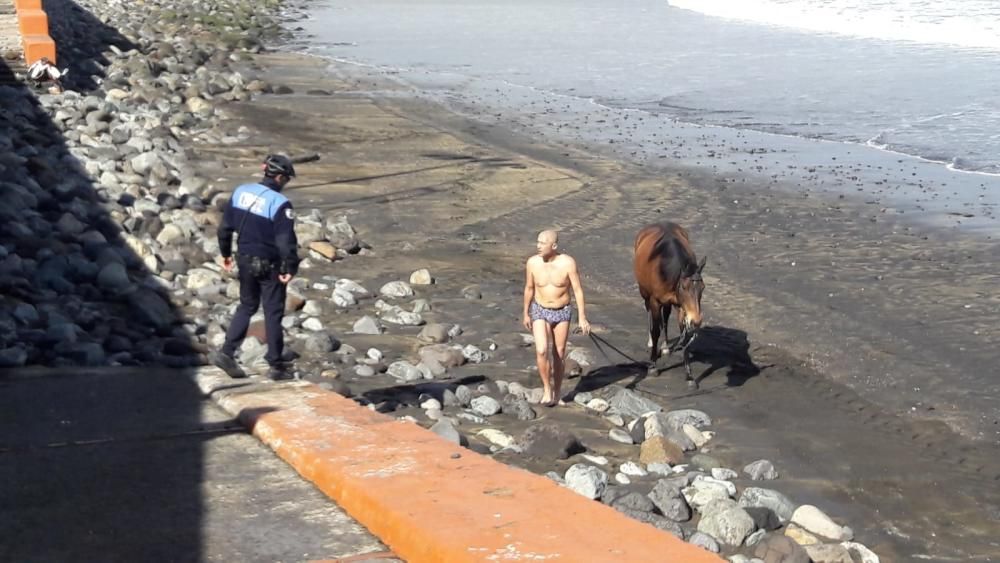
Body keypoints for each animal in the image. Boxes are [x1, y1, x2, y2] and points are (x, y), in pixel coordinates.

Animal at [636, 223, 708, 386]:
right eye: (684, 287)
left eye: (702, 287)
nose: (696, 320)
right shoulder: (655, 301)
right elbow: (655, 330)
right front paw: (653, 365)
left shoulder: (681, 306)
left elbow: (684, 334)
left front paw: (689, 374)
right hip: (645, 294)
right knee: (649, 312)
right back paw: (652, 342)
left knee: (666, 317)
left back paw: (665, 346)